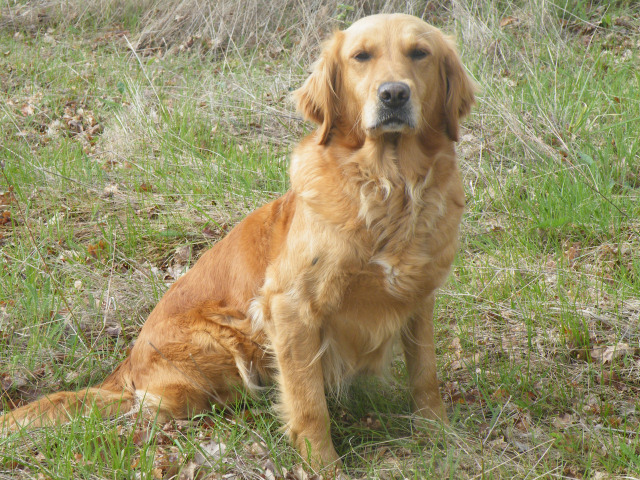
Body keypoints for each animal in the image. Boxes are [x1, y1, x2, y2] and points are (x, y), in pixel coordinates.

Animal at [1, 14, 476, 472]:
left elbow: (425, 374)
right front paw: (323, 465)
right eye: (362, 56)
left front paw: (439, 435)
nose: (394, 94)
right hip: (224, 342)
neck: (389, 189)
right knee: (153, 406)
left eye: (419, 53)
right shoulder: (289, 306)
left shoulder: (418, 297)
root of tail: (128, 362)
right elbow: (307, 402)